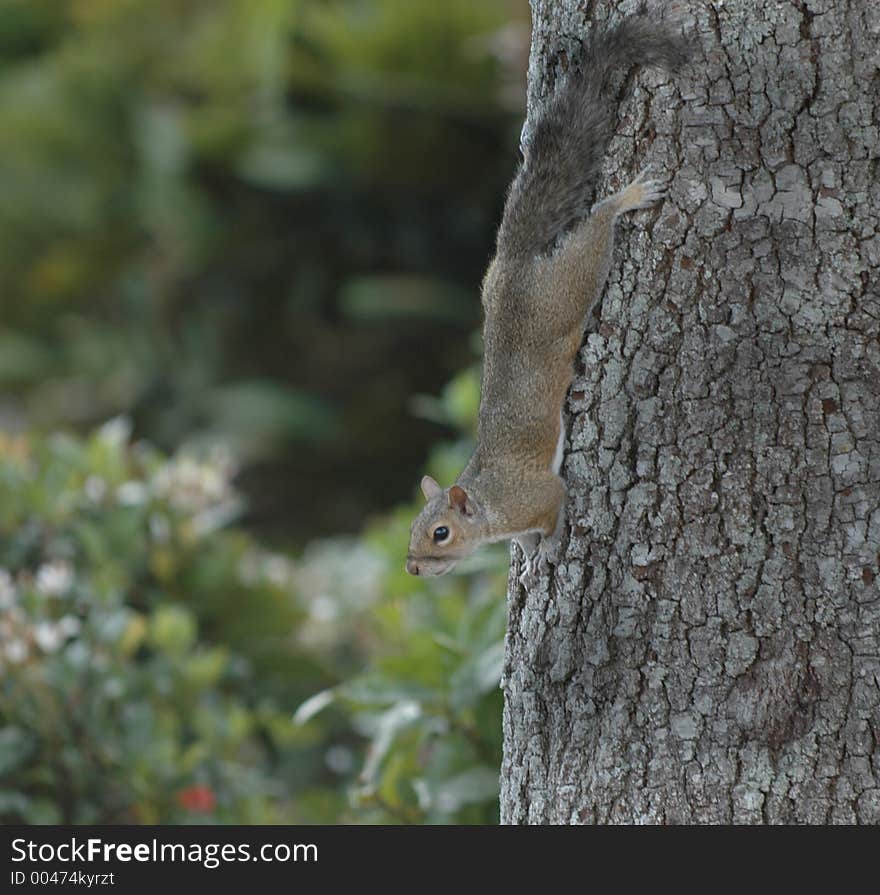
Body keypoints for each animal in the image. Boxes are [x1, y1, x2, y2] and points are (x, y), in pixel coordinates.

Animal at [410, 5, 692, 580]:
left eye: (441, 533)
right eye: (413, 529)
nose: (412, 568)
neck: (490, 507)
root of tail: (516, 262)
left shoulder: (541, 492)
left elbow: (556, 508)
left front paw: (549, 549)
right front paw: (527, 551)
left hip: (568, 284)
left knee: (596, 228)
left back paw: (627, 198)